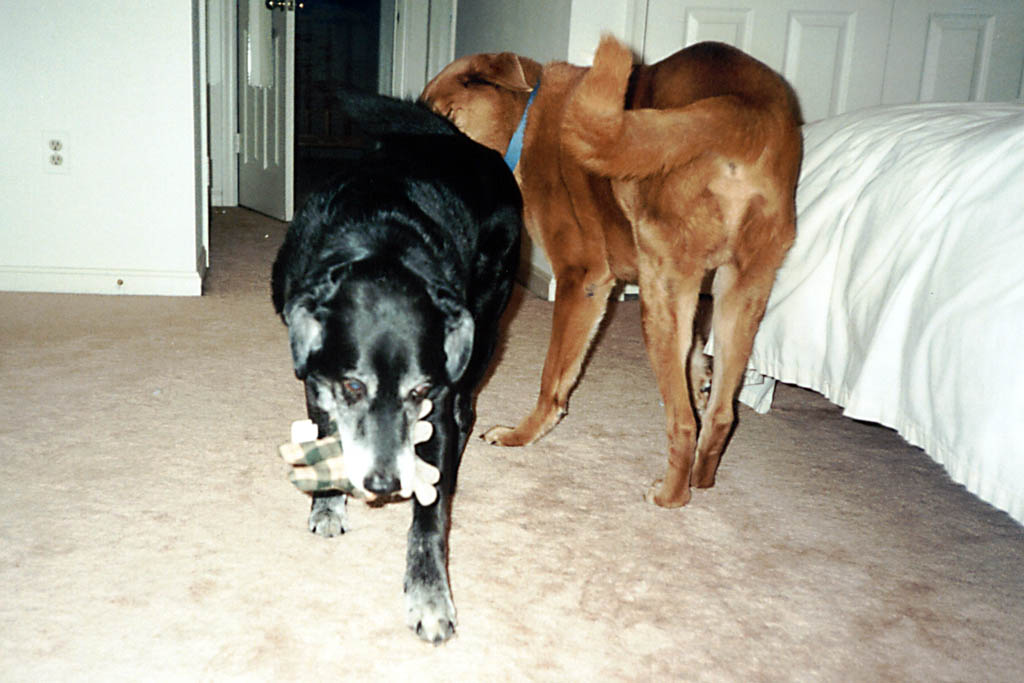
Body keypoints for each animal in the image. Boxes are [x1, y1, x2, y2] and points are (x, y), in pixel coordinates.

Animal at [270, 93, 520, 643]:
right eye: (352, 385)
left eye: (420, 391)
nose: (385, 486)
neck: (380, 242)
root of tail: (461, 142)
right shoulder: (317, 381)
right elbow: (329, 433)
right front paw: (327, 504)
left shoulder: (438, 398)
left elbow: (429, 521)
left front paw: (430, 595)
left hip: (486, 323)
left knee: (467, 407)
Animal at [419, 37, 802, 507]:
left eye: (445, 117)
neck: (527, 120)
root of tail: (743, 109)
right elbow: (697, 355)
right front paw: (700, 378)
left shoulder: (581, 278)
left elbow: (554, 377)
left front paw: (520, 436)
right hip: (743, 293)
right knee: (720, 415)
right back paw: (702, 477)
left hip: (661, 290)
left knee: (683, 423)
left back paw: (670, 496)